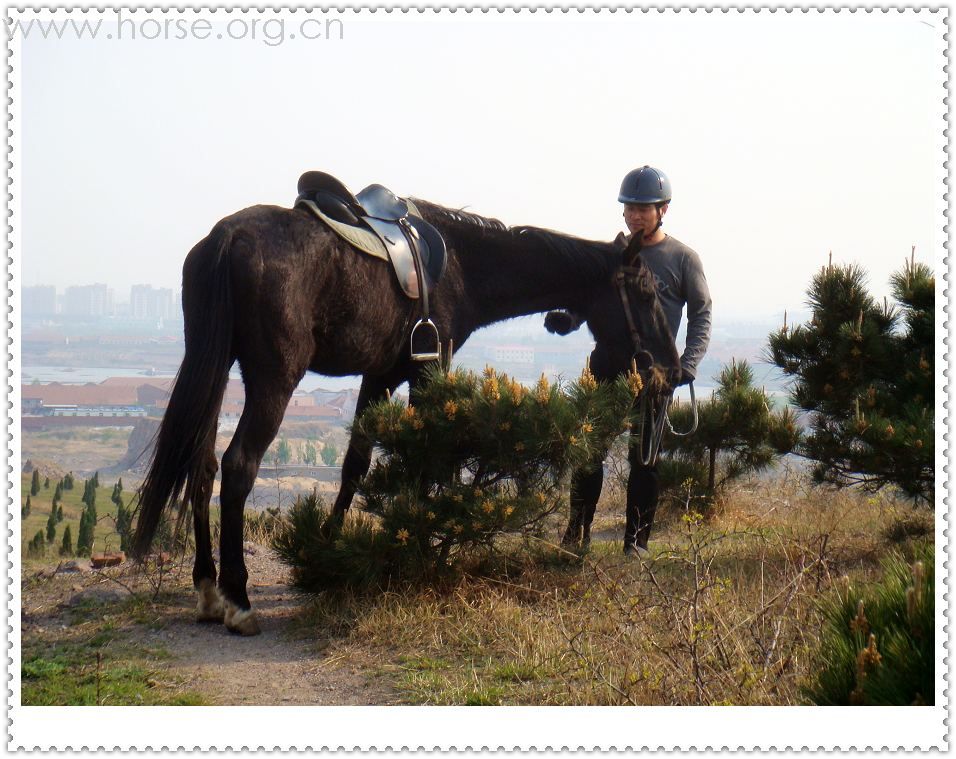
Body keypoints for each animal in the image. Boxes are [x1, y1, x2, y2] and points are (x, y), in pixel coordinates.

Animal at [131, 196, 680, 636]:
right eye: (646, 293)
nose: (671, 368)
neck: (461, 262)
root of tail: (229, 237)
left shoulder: (379, 376)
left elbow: (355, 464)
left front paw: (328, 549)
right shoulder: (429, 370)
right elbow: (424, 463)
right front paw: (418, 545)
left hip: (215, 365)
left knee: (201, 466)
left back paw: (207, 588)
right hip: (273, 378)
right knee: (238, 466)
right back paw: (238, 599)